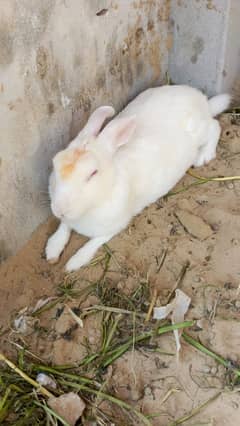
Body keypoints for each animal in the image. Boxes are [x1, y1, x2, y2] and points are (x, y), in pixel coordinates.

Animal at [45, 85, 231, 272]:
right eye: (54, 163)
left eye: (93, 173)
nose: (59, 209)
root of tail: (201, 99)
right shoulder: (68, 221)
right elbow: (63, 228)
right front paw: (52, 250)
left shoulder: (115, 225)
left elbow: (93, 243)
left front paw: (73, 263)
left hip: (201, 130)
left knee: (215, 126)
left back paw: (204, 156)